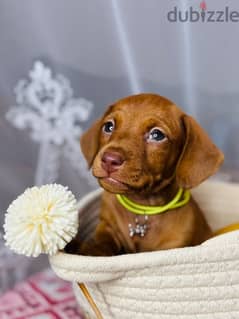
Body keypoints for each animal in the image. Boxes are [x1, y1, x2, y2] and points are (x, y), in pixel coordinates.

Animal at [66, 94, 223, 256]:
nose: (109, 160)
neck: (143, 209)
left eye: (157, 135)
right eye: (108, 126)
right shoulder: (107, 226)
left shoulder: (175, 245)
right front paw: (80, 247)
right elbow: (101, 247)